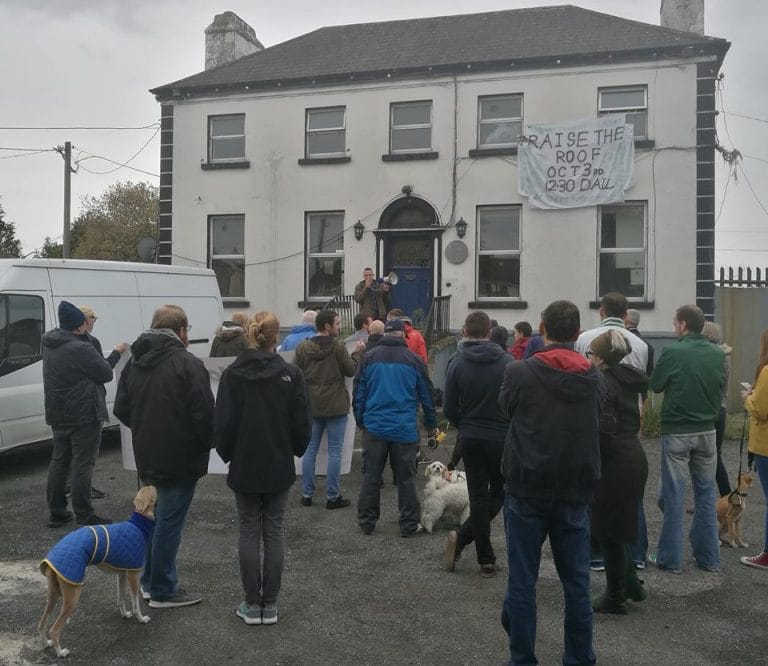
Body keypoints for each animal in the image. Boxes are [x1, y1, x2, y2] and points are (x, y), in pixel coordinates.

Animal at [38, 486, 157, 656]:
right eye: (151, 491)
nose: (152, 484)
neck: (137, 526)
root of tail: (50, 557)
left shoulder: (122, 573)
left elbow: (121, 597)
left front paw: (125, 614)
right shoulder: (133, 575)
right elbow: (135, 602)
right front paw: (141, 618)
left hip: (53, 595)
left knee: (42, 623)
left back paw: (45, 644)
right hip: (72, 596)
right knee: (54, 629)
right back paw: (60, 652)